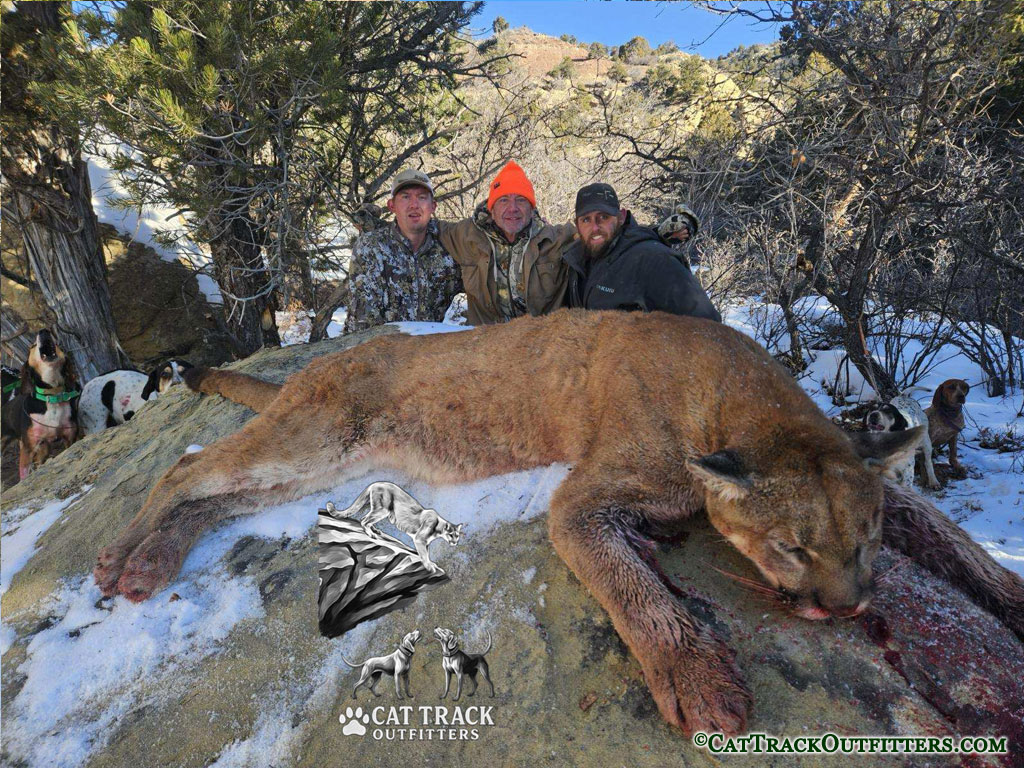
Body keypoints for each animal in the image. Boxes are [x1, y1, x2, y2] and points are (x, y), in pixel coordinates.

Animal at [93, 309, 1023, 736]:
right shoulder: (582, 496)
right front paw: (698, 679)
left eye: (863, 544)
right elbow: (628, 583)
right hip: (314, 434)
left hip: (328, 460)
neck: (735, 391)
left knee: (217, 493)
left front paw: (1009, 595)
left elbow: (958, 545)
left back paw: (148, 562)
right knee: (187, 468)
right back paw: (119, 563)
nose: (847, 606)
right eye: (792, 547)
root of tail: (328, 359)